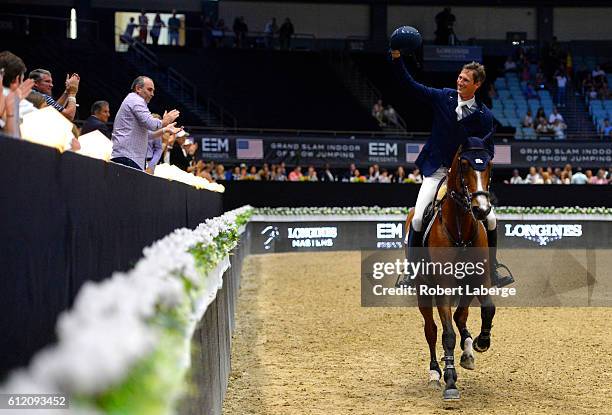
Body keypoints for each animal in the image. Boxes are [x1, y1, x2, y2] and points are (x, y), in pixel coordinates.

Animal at [406, 136, 498, 400]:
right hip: (423, 291)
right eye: (465, 165)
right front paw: (450, 381)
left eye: (489, 165)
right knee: (431, 330)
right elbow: (446, 333)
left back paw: (468, 350)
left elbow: (487, 309)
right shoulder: (443, 287)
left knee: (460, 316)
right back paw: (435, 373)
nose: (481, 209)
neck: (460, 230)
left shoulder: (479, 279)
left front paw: (480, 342)